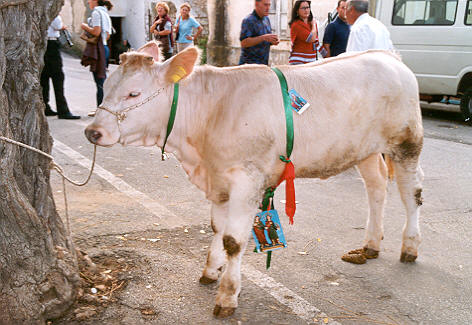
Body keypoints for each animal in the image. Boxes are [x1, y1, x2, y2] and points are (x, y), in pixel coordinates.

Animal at [85, 40, 424, 316]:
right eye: (109, 84)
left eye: (134, 93)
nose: (93, 132)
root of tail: (387, 55)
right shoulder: (219, 179)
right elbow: (217, 229)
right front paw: (211, 270)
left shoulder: (246, 179)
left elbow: (234, 241)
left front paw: (226, 296)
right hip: (365, 150)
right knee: (376, 187)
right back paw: (371, 244)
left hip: (407, 143)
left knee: (411, 193)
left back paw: (410, 246)